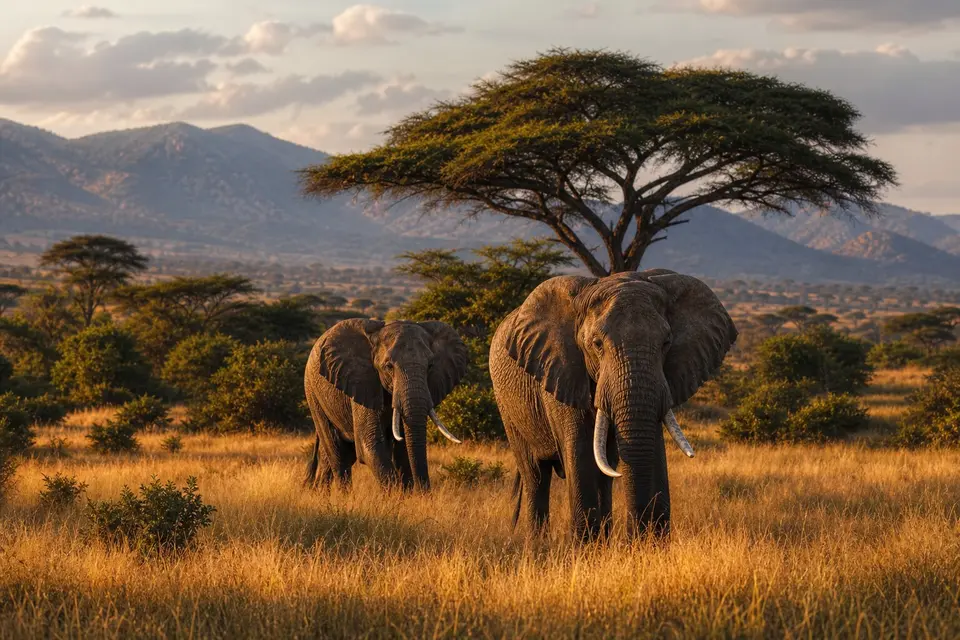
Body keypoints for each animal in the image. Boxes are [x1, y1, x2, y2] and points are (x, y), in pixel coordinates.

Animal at [303, 318, 469, 492]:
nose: (423, 492)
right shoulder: (364, 381)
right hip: (313, 394)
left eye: (430, 365)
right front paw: (397, 495)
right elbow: (369, 445)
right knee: (338, 454)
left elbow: (403, 449)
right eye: (389, 366)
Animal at [489, 269, 737, 540]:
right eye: (597, 344)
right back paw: (539, 544)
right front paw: (585, 548)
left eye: (666, 343)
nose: (636, 536)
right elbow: (581, 452)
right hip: (507, 407)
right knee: (536, 475)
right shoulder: (561, 370)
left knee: (603, 474)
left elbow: (652, 449)